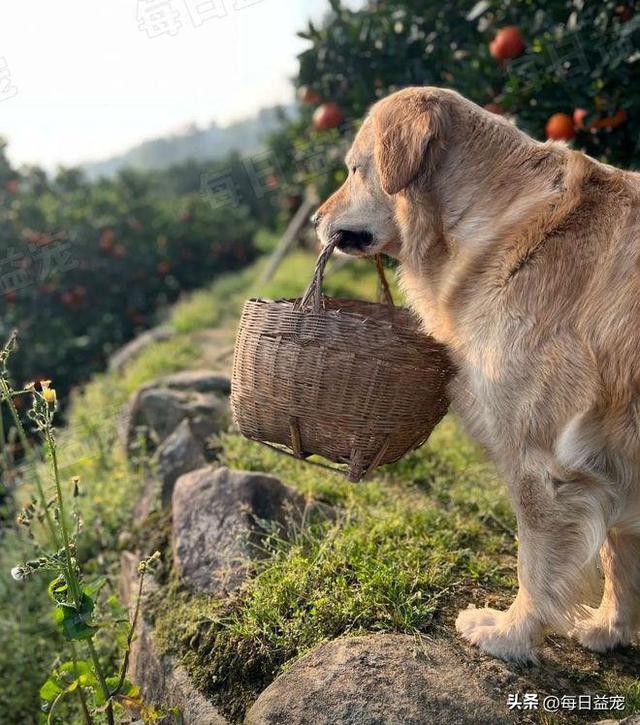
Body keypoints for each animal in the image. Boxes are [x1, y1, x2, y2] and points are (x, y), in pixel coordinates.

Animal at [312, 86, 640, 660]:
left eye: (354, 169)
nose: (313, 218)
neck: (498, 221)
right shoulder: (608, 462)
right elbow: (617, 556)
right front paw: (609, 628)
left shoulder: (544, 465)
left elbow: (535, 564)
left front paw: (510, 634)